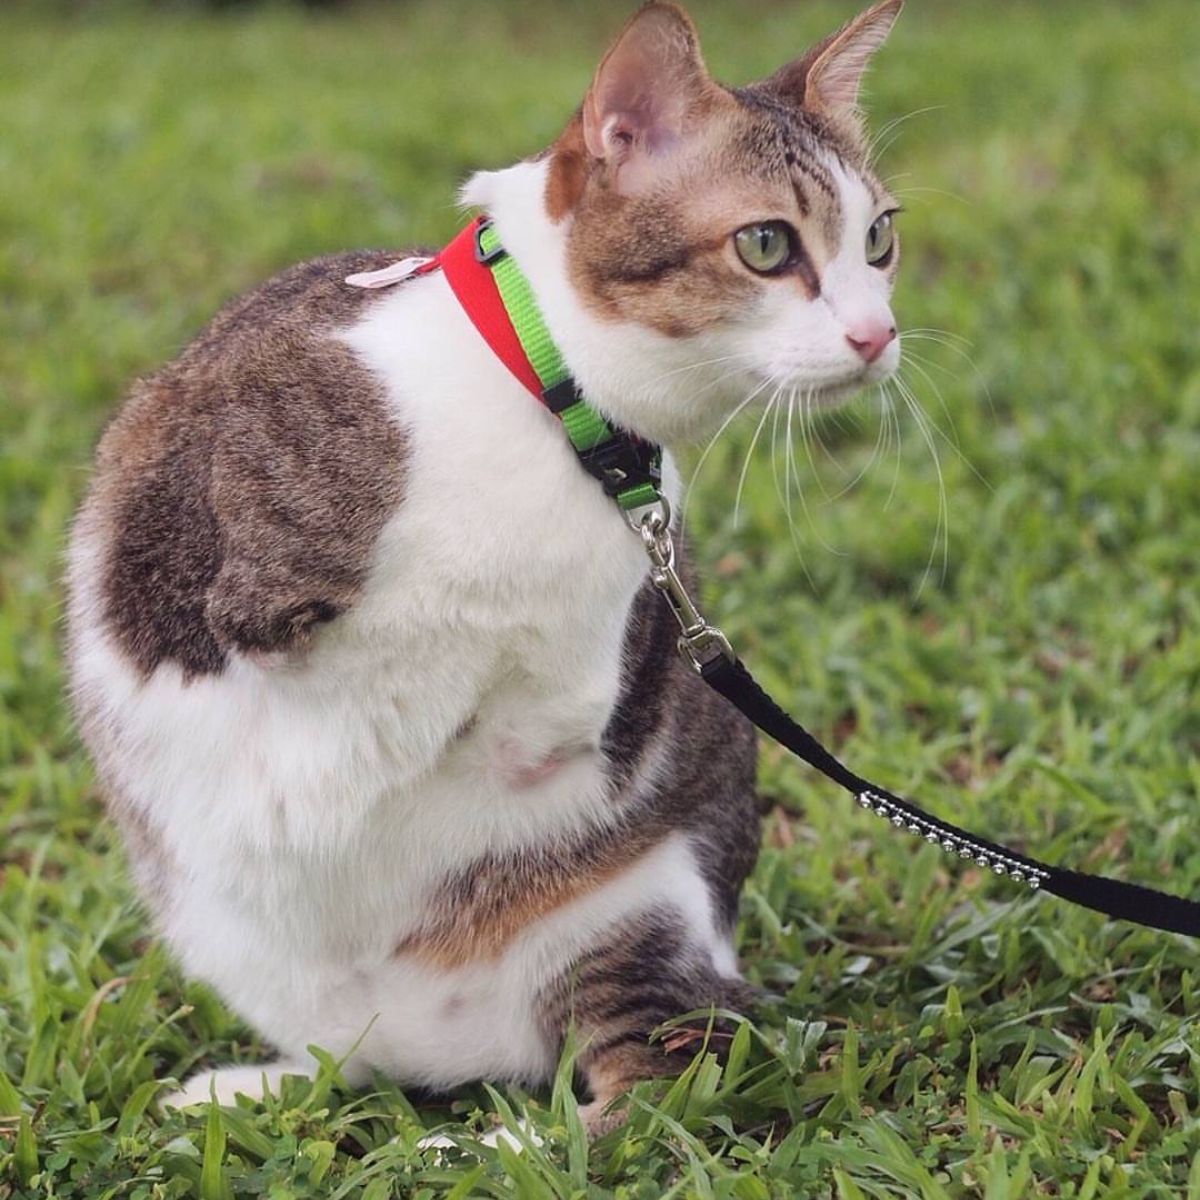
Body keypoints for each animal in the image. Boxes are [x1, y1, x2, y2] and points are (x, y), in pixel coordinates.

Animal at [65, 0, 902, 1132]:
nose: (878, 333)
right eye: (767, 244)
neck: (551, 407)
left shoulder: (612, 628)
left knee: (658, 1085)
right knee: (359, 1065)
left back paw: (492, 1147)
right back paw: (265, 1087)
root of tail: (444, 1054)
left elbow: (550, 713)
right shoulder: (200, 571)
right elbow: (302, 654)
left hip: (640, 914)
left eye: (879, 238)